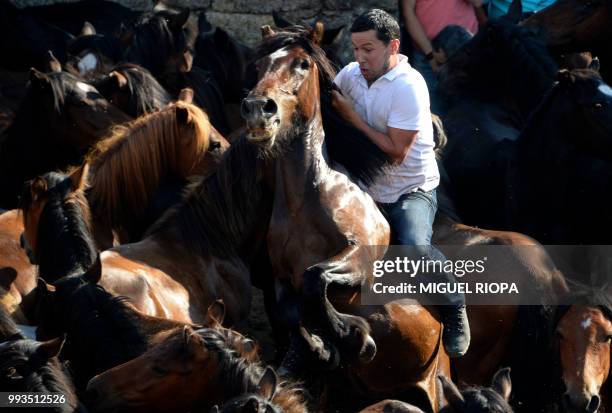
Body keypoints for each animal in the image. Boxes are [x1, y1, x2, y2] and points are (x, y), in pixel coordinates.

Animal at [243, 26, 450, 412]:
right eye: (260, 65)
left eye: (302, 64)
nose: (257, 109)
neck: (306, 199)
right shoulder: (281, 276)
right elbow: (290, 309)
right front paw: (322, 347)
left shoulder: (359, 259)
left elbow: (315, 279)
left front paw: (356, 338)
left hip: (436, 384)